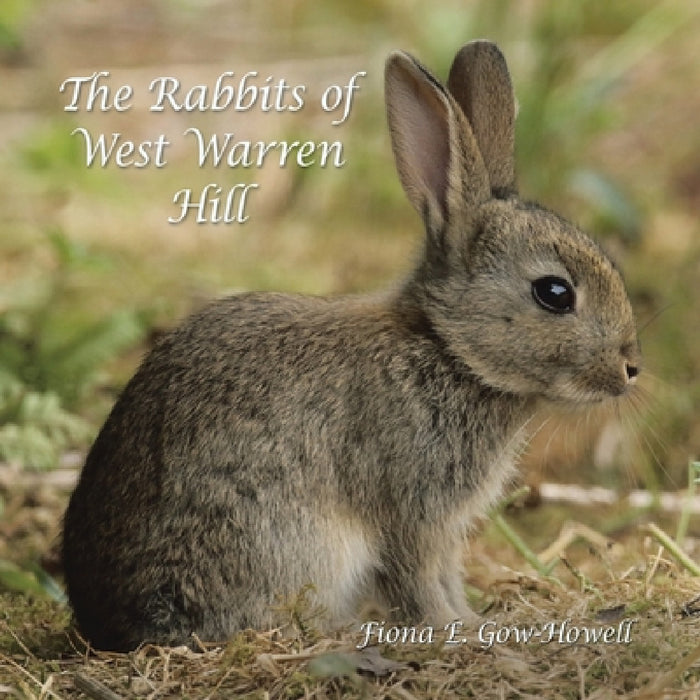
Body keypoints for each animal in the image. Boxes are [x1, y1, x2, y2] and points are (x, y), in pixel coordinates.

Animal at [62, 40, 641, 652]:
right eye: (554, 293)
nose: (631, 367)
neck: (446, 349)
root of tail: (113, 624)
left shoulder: (440, 525)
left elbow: (444, 573)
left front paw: (472, 619)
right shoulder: (411, 509)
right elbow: (417, 578)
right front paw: (455, 628)